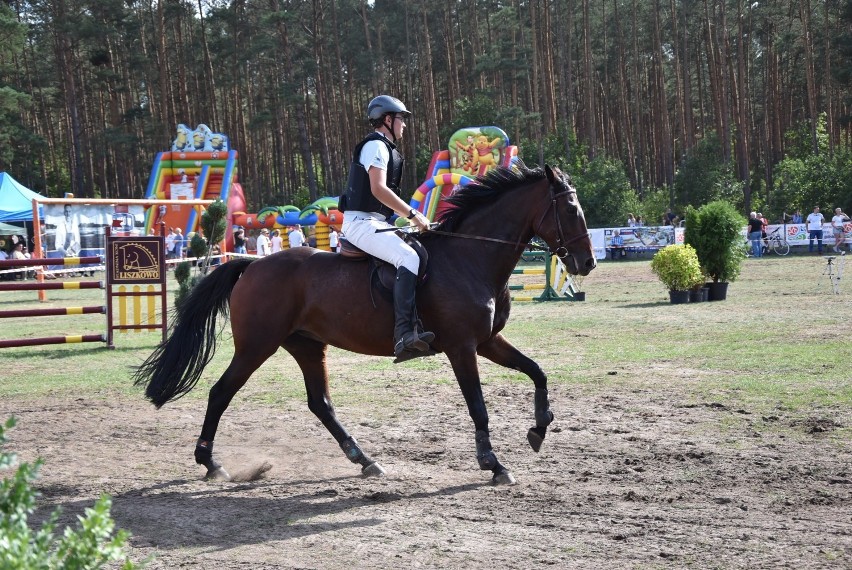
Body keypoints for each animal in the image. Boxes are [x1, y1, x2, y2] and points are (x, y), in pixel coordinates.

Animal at [136, 163, 596, 484]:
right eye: (571, 209)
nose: (587, 263)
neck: (470, 256)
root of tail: (251, 264)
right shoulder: (462, 346)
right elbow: (478, 406)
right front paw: (494, 464)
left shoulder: (487, 341)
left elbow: (537, 371)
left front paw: (539, 428)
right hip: (257, 346)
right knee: (221, 392)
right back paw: (210, 462)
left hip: (306, 345)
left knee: (320, 403)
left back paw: (366, 460)